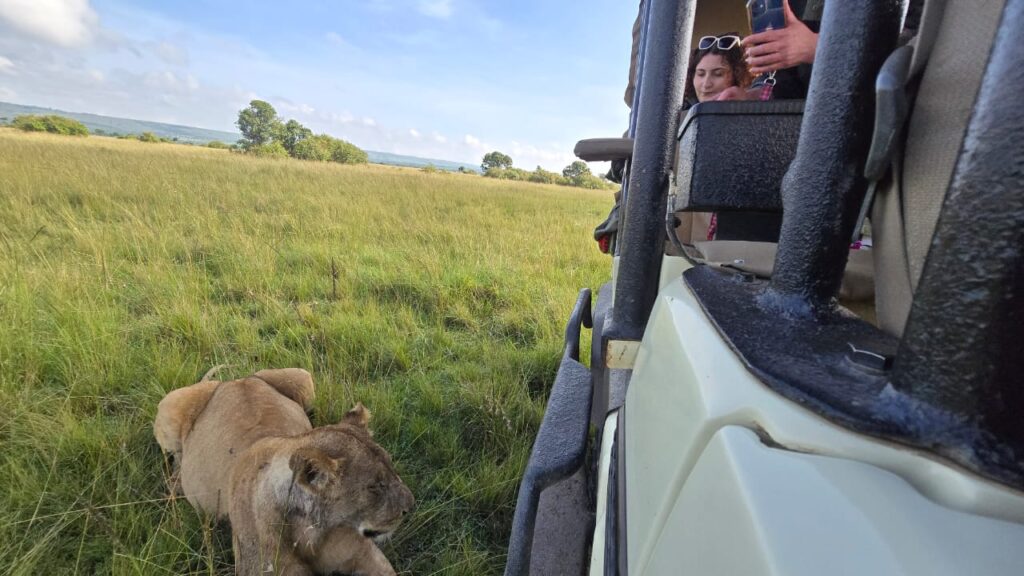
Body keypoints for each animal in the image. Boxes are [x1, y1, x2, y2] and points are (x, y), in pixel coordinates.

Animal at [154, 368, 415, 576]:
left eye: (392, 468)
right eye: (374, 486)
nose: (410, 507)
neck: (310, 530)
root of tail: (234, 380)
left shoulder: (367, 557)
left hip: (303, 378)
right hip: (169, 406)